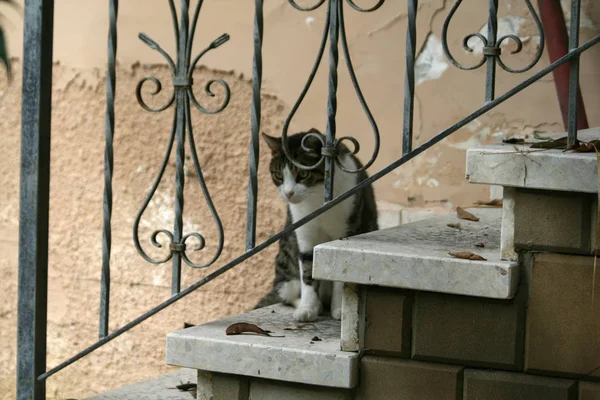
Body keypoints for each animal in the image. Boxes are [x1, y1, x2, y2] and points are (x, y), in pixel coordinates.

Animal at [254, 128, 378, 322]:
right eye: (279, 175)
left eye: (303, 174)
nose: (288, 193)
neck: (317, 197)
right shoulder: (304, 233)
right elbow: (307, 272)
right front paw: (308, 308)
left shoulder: (347, 229)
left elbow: (340, 274)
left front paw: (340, 309)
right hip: (287, 272)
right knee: (286, 294)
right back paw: (315, 305)